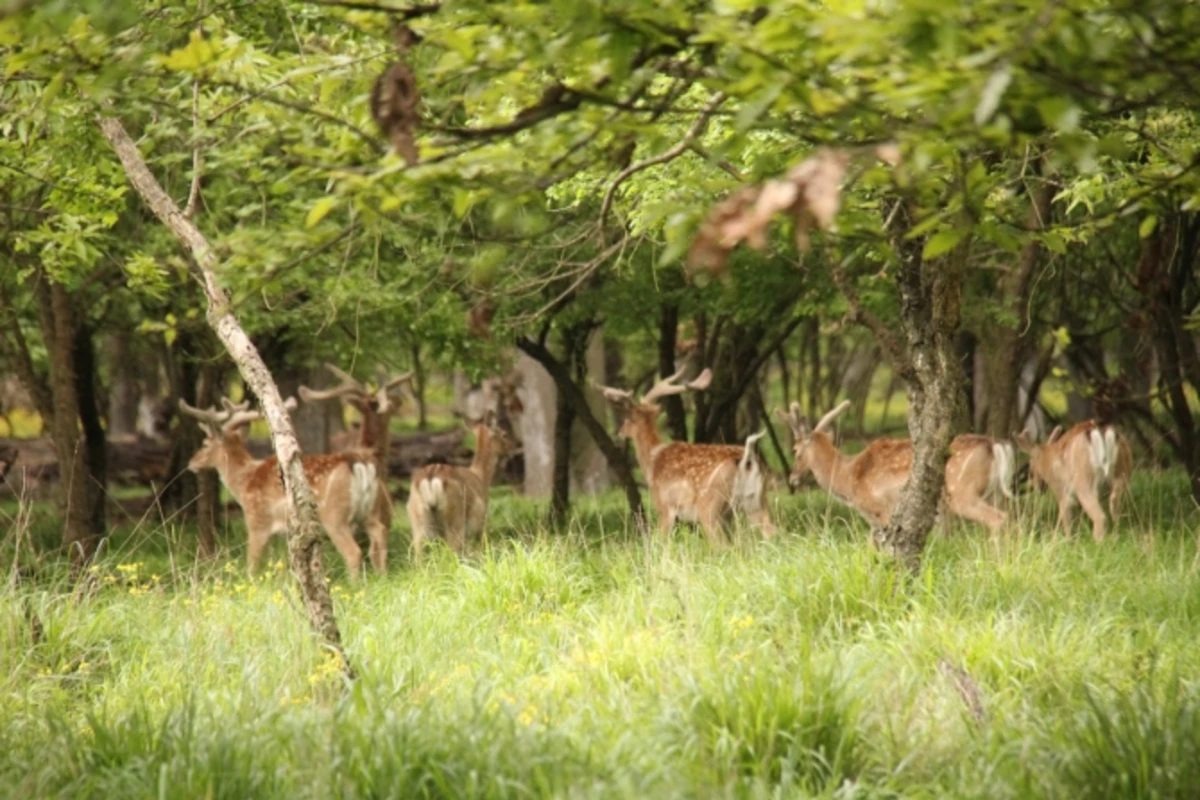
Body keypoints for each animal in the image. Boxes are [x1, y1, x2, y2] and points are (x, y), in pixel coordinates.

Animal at [177, 398, 388, 578]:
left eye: (205, 443)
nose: (191, 462)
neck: (244, 481)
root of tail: (359, 463)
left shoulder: (257, 520)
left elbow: (252, 564)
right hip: (371, 511)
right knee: (379, 539)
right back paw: (381, 578)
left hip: (335, 515)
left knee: (353, 552)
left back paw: (355, 585)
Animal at [405, 410, 518, 561]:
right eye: (504, 434)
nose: (515, 446)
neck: (481, 477)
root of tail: (430, 478)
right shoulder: (482, 521)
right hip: (456, 520)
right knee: (452, 553)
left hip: (417, 522)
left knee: (419, 559)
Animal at [592, 367, 777, 544]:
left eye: (627, 418)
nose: (619, 432)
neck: (652, 461)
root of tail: (747, 460)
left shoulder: (665, 507)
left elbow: (661, 543)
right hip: (755, 501)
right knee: (772, 534)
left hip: (710, 507)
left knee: (723, 545)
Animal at [772, 402, 1017, 534]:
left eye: (794, 449)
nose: (792, 478)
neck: (849, 478)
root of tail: (995, 445)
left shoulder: (882, 510)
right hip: (995, 492)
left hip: (962, 492)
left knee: (998, 519)